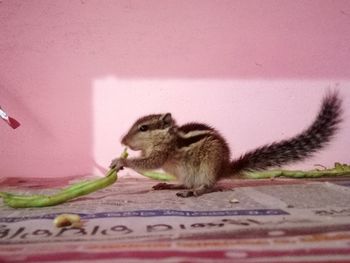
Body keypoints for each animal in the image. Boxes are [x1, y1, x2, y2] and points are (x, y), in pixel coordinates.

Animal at [111, 93, 342, 198]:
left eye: (143, 128)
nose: (122, 141)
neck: (168, 138)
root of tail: (224, 168)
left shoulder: (162, 153)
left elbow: (150, 162)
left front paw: (121, 160)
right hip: (188, 173)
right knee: (187, 183)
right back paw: (170, 185)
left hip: (207, 167)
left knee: (208, 186)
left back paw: (195, 192)